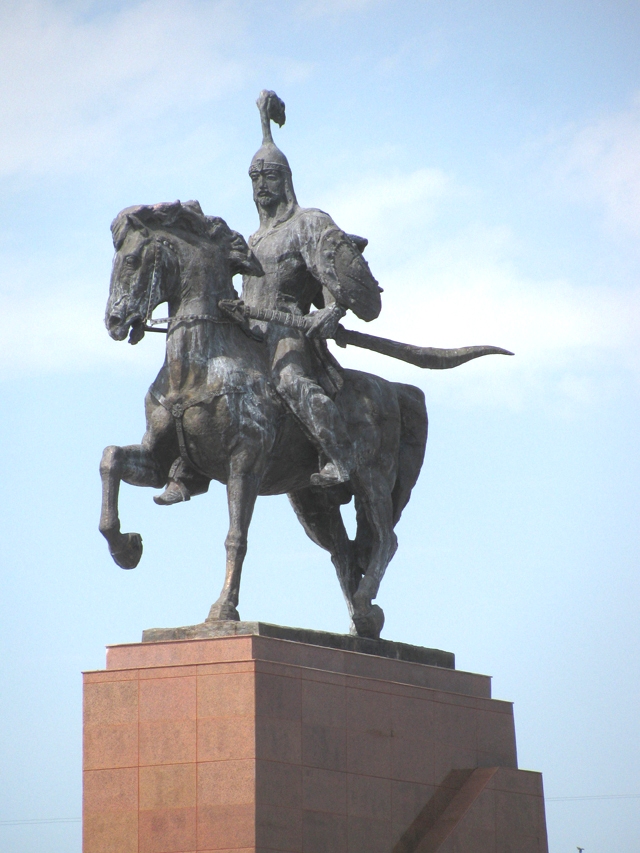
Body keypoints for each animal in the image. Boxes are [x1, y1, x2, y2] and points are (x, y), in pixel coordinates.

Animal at [100, 201, 428, 640]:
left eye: (132, 259)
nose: (114, 322)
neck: (198, 369)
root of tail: (397, 391)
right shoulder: (157, 459)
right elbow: (112, 459)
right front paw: (126, 547)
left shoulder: (245, 464)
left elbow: (236, 537)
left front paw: (223, 610)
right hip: (313, 502)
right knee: (344, 554)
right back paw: (362, 621)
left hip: (372, 479)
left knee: (384, 539)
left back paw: (364, 603)